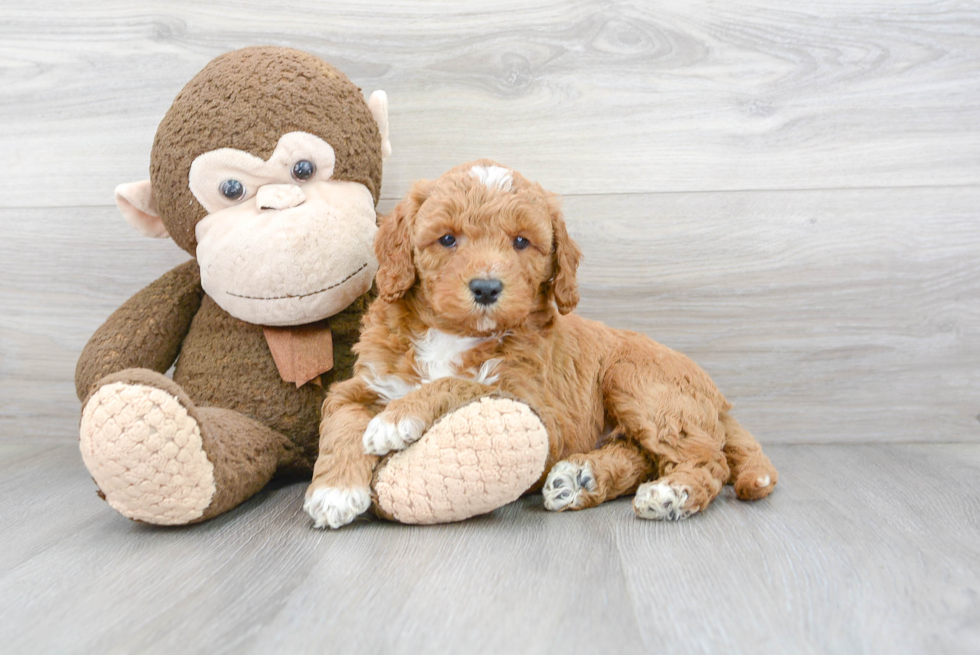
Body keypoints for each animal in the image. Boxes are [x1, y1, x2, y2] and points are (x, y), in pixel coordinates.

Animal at [302, 161, 776, 532]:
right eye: (448, 239)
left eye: (520, 241)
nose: (487, 287)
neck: (453, 334)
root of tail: (717, 398)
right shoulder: (363, 384)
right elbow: (341, 421)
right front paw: (334, 491)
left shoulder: (540, 408)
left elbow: (465, 385)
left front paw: (397, 417)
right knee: (642, 453)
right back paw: (581, 479)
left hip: (638, 382)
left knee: (709, 461)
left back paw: (671, 494)